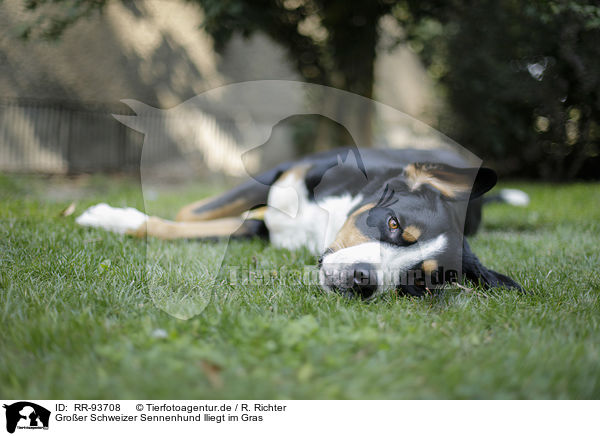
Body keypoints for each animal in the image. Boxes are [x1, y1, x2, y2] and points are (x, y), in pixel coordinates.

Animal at [77, 146, 528, 300]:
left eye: (419, 284)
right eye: (394, 223)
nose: (363, 280)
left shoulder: (258, 226)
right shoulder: (280, 173)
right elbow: (189, 214)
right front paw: (110, 215)